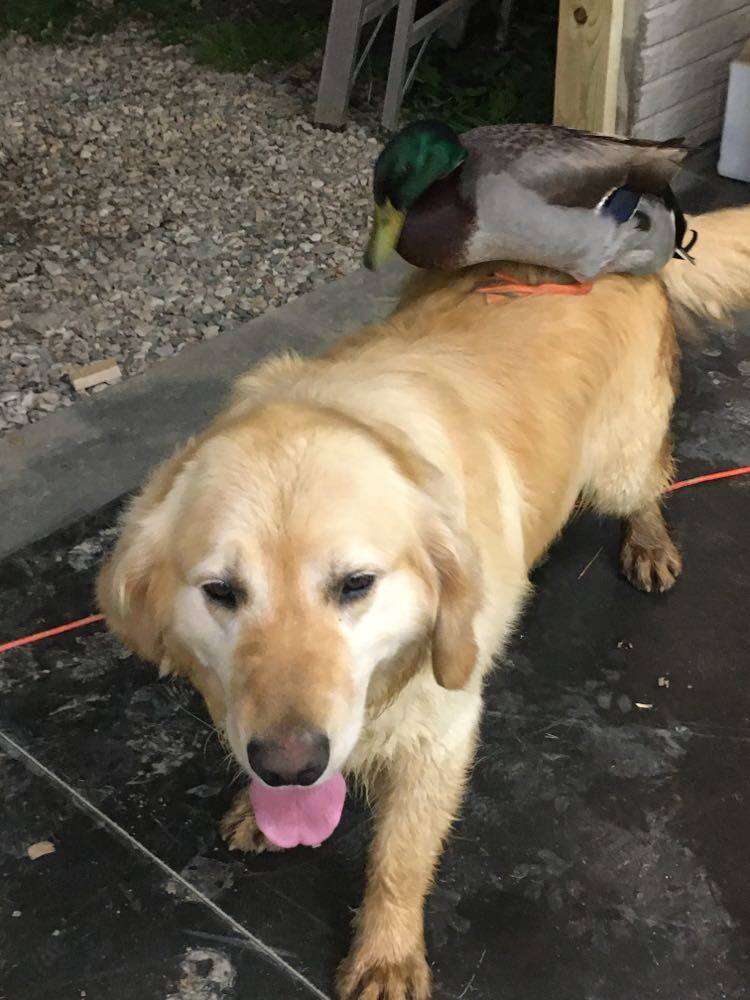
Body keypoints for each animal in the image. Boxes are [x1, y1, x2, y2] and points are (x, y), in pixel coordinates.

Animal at [98, 207, 750, 996]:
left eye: (356, 584)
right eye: (221, 592)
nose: (288, 765)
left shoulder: (443, 727)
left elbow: (400, 860)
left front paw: (386, 954)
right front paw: (262, 808)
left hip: (620, 464)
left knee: (651, 478)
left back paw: (648, 541)